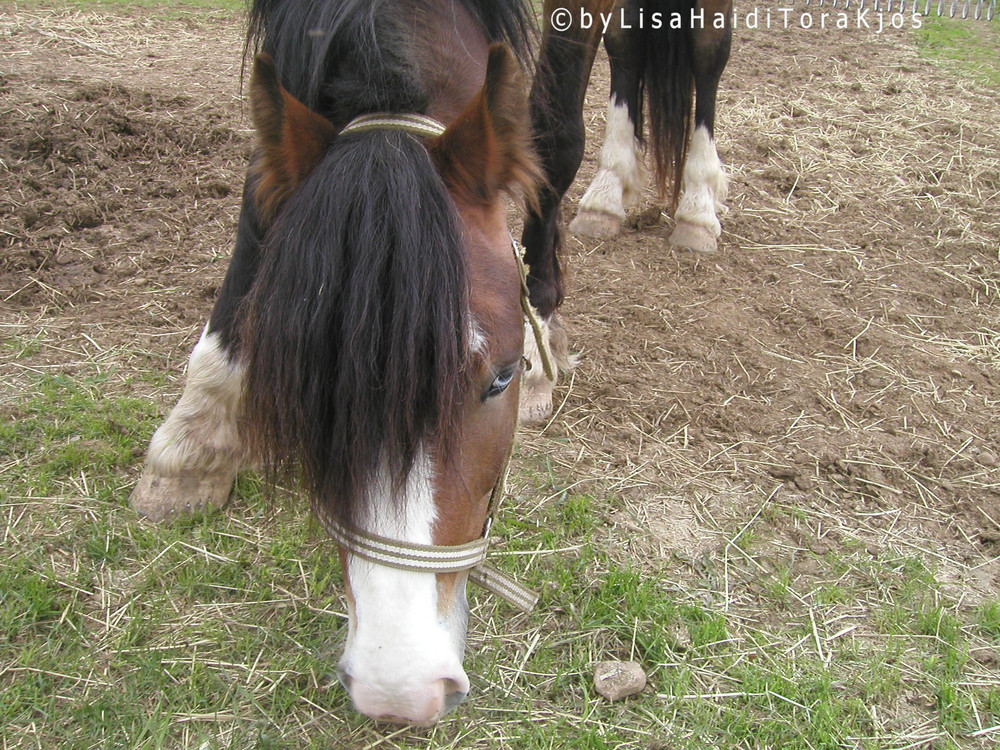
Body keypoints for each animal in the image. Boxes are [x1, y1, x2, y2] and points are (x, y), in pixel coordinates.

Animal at [520, 0, 732, 424]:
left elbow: (553, 134)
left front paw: (535, 356)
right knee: (626, 41)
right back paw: (608, 191)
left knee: (708, 47)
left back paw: (698, 207)